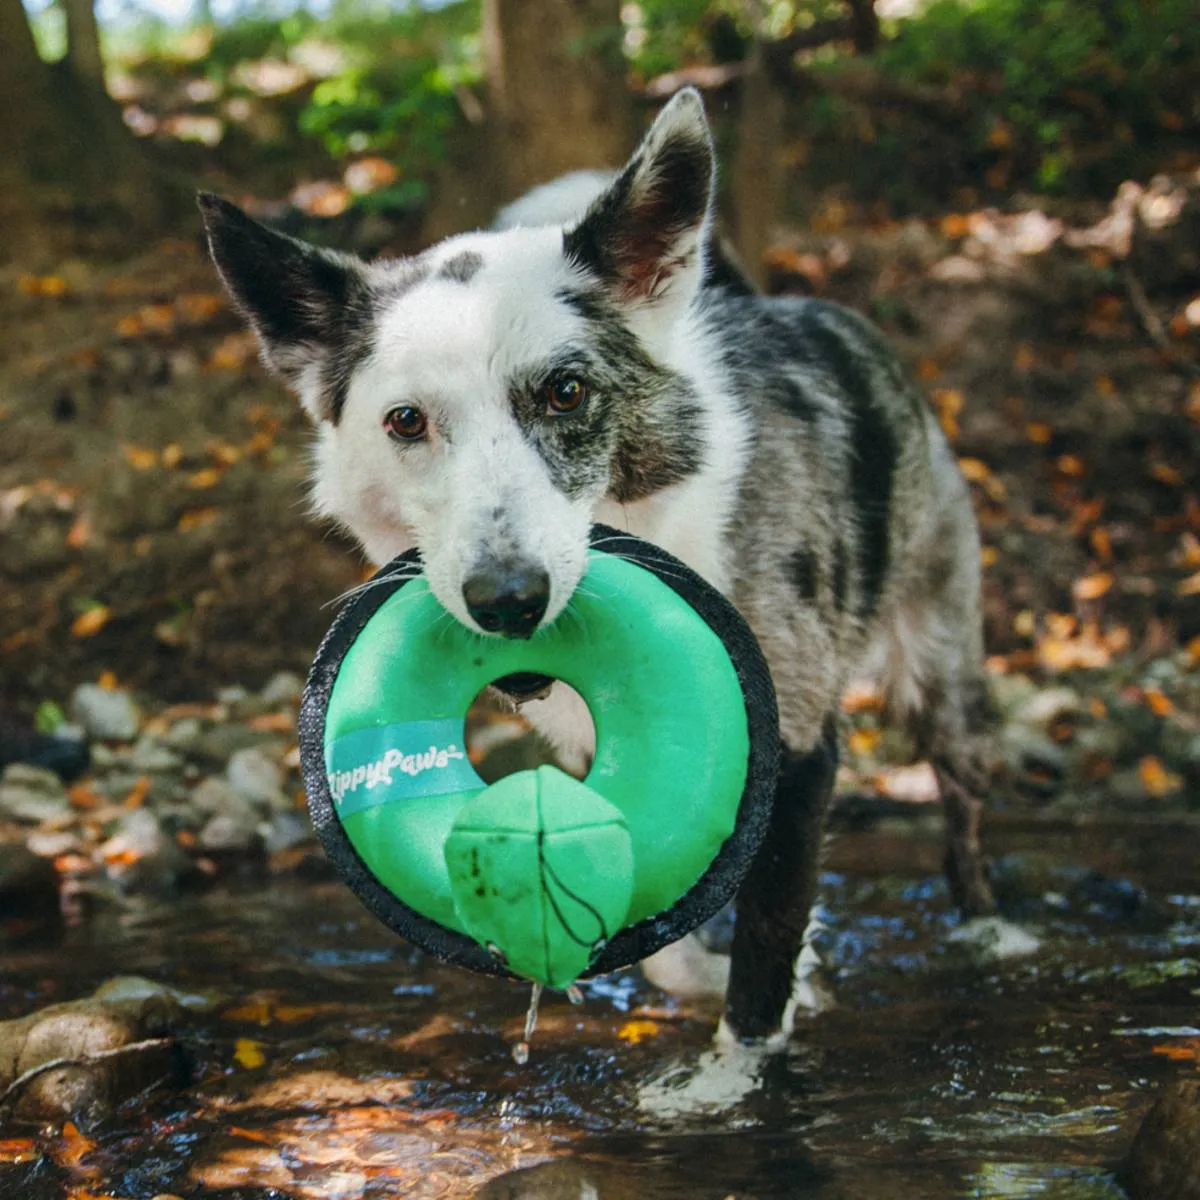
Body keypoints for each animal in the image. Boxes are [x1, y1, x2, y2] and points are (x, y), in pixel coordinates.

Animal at [201, 88, 998, 1051]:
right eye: (405, 421)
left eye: (566, 393)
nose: (507, 602)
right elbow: (662, 928)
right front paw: (701, 977)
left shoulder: (802, 752)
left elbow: (767, 950)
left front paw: (733, 1068)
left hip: (942, 669)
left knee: (964, 815)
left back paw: (994, 931)